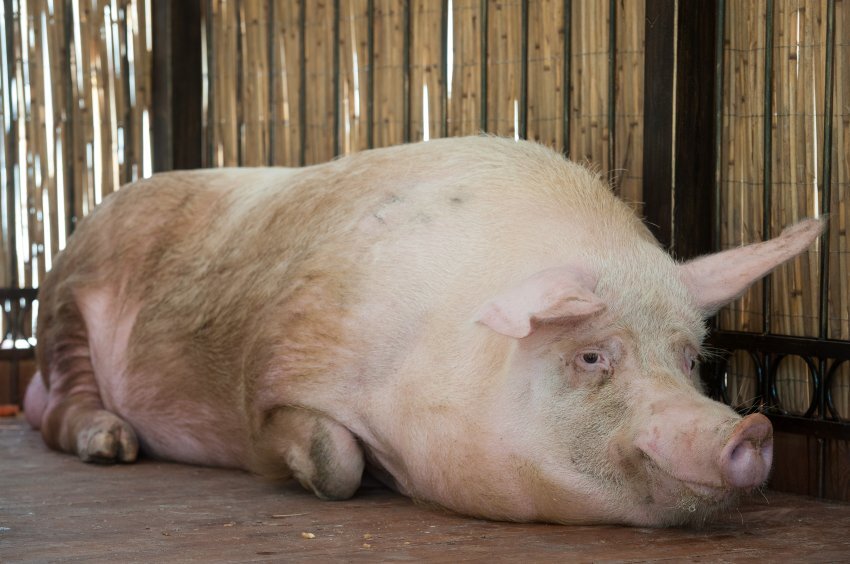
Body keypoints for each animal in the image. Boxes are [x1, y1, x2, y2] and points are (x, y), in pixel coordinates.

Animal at [21, 138, 820, 528]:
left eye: (691, 359)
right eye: (592, 355)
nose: (746, 427)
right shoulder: (278, 369)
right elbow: (333, 462)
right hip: (64, 300)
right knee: (61, 403)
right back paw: (111, 443)